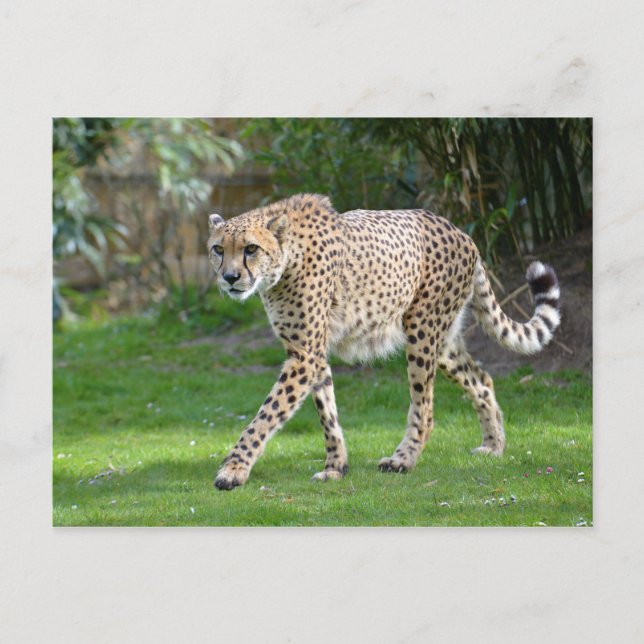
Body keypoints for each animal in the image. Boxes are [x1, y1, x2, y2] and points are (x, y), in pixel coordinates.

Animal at [206, 193, 560, 490]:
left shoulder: (304, 357)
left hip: (422, 331)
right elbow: (327, 412)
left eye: (251, 249)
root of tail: (461, 232)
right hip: (443, 342)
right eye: (218, 250)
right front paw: (336, 467)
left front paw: (233, 470)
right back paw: (493, 446)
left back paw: (403, 460)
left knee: (425, 409)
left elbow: (265, 416)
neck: (285, 261)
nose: (230, 278)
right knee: (482, 379)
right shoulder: (311, 354)